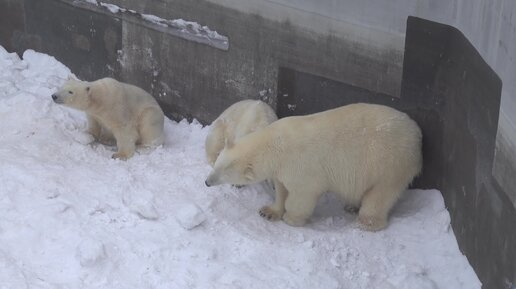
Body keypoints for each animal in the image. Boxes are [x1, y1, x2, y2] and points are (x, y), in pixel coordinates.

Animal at [206, 103, 424, 230]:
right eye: (217, 165)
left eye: (223, 173)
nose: (207, 182)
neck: (275, 143)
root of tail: (416, 133)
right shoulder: (282, 168)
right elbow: (282, 188)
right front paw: (268, 211)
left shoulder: (301, 165)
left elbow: (302, 194)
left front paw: (291, 218)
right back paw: (352, 206)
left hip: (388, 162)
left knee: (381, 193)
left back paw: (367, 222)